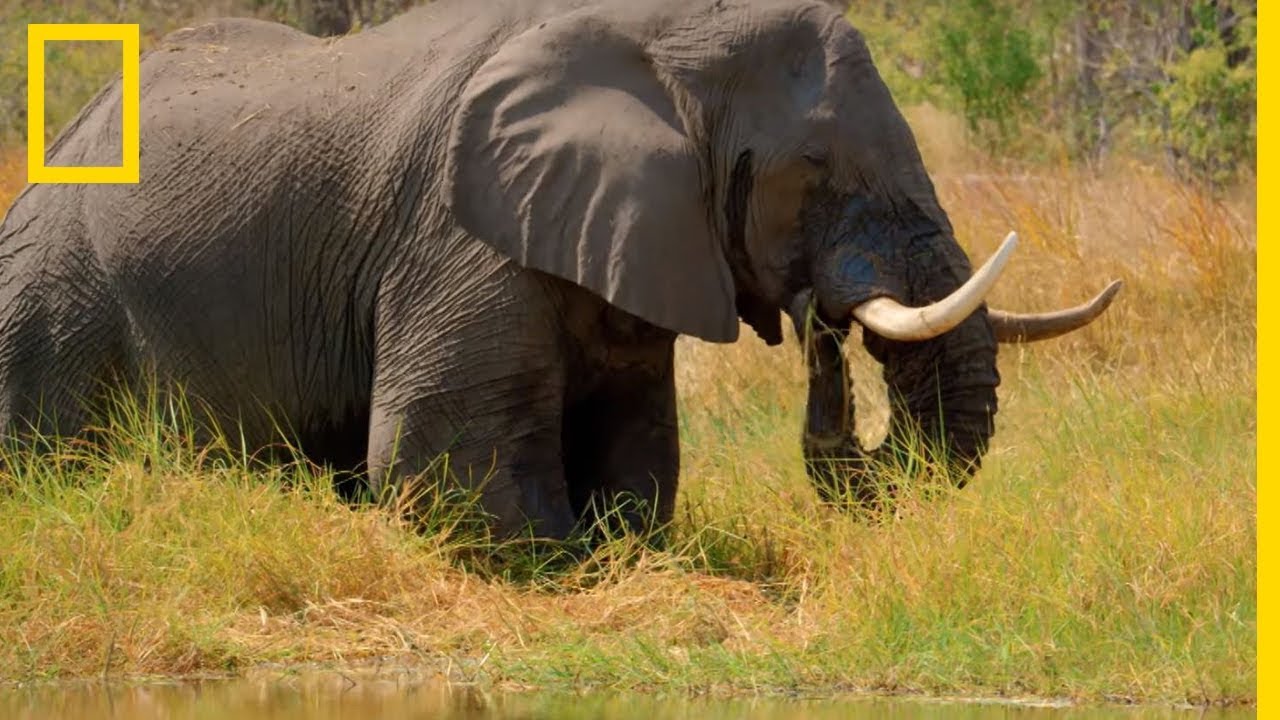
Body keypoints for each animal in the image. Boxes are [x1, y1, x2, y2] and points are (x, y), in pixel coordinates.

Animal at [0, 0, 1119, 540]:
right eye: (815, 169)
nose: (820, 321)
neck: (669, 35)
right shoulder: (457, 235)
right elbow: (440, 467)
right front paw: (569, 560)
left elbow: (638, 457)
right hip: (50, 293)